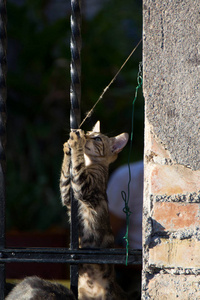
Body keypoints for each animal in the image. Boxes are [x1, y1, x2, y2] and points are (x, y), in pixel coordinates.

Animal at [59, 122, 129, 300]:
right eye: (90, 132)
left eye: (97, 138)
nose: (85, 135)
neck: (91, 165)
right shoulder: (68, 197)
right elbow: (65, 176)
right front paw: (67, 148)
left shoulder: (84, 187)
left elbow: (77, 166)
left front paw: (76, 142)